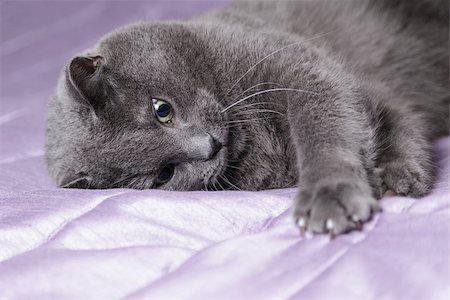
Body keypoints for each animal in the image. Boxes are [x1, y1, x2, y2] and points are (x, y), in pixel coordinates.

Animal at [45, 0, 450, 236]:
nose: (208, 147)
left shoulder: (306, 68)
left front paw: (335, 195)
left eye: (161, 110)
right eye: (164, 175)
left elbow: (326, 127)